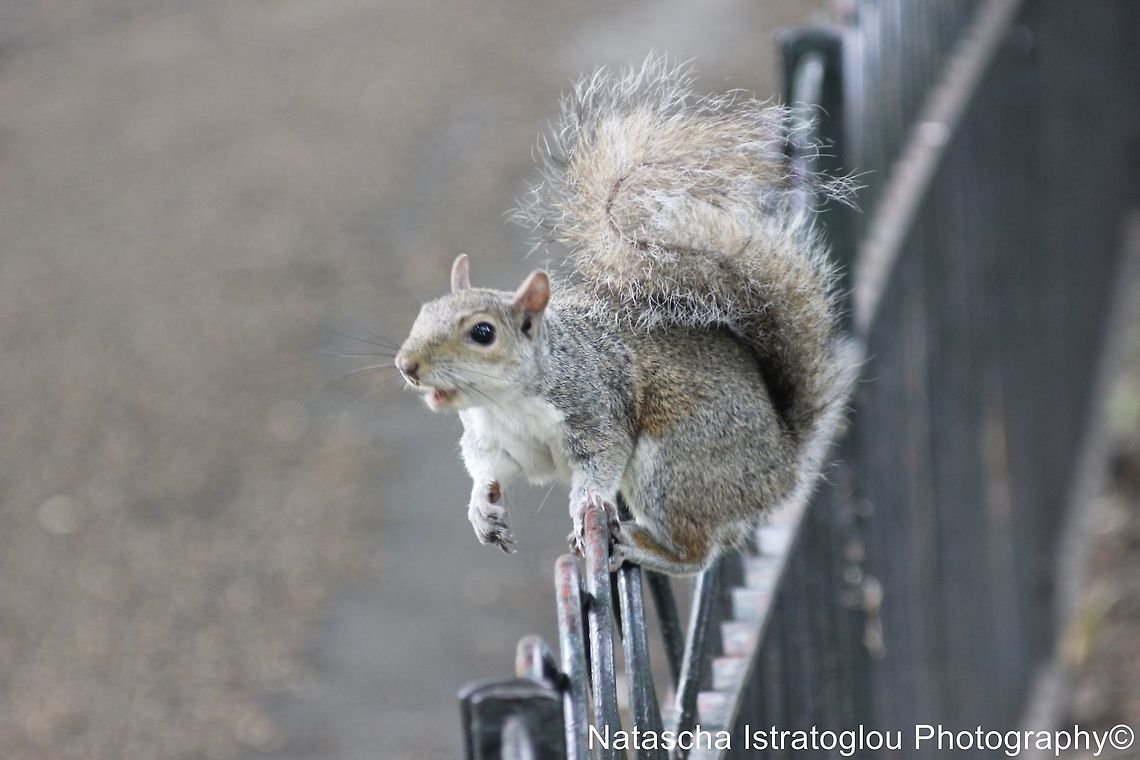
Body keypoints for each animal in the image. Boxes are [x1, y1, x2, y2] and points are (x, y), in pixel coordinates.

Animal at [395, 56, 858, 575]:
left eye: (482, 332)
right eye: (423, 312)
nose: (407, 367)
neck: (506, 402)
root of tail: (782, 470)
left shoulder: (596, 409)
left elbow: (601, 462)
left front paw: (584, 507)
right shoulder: (496, 440)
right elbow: (488, 468)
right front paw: (481, 509)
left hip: (676, 468)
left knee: (696, 551)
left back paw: (641, 546)